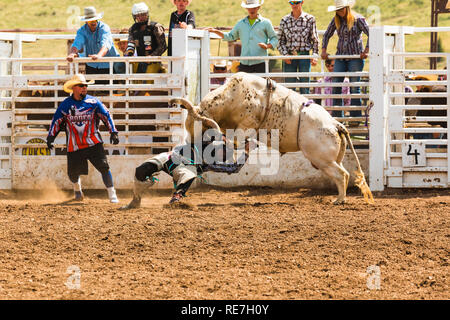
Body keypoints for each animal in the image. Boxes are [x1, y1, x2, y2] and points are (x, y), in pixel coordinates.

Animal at [171, 72, 374, 205]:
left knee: (342, 175)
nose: (189, 146)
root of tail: (335, 124)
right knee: (342, 174)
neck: (232, 98)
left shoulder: (245, 126)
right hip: (329, 159)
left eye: (197, 127)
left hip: (322, 159)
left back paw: (339, 200)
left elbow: (234, 143)